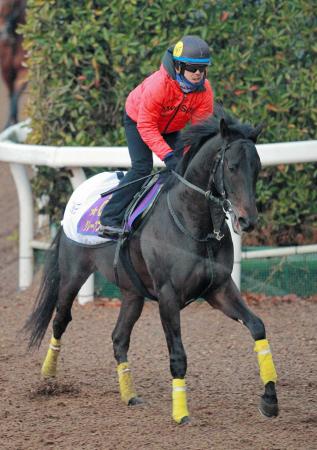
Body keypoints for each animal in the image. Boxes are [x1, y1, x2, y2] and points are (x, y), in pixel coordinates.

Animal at [24, 108, 278, 422]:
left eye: (257, 167)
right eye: (231, 167)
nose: (247, 220)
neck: (195, 225)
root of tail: (77, 196)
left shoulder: (219, 288)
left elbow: (257, 327)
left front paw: (270, 400)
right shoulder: (168, 295)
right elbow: (178, 355)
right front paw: (181, 413)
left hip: (132, 292)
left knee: (119, 337)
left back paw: (129, 395)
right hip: (73, 274)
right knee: (61, 319)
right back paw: (48, 376)